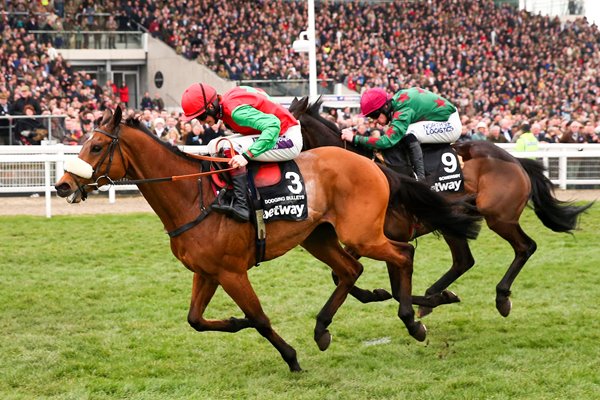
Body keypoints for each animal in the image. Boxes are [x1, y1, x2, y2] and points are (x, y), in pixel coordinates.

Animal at [54, 106, 480, 372]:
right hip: (318, 237)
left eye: (95, 145)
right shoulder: (206, 272)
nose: (62, 185)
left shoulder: (231, 272)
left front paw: (290, 357)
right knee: (351, 270)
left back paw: (413, 319)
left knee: (401, 254)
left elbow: (259, 318)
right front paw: (234, 320)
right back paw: (325, 328)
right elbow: (195, 320)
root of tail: (369, 163)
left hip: (361, 234)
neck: (194, 197)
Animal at [292, 97, 596, 318]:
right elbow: (340, 274)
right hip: (454, 222)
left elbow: (393, 287)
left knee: (525, 247)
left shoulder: (389, 235)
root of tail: (514, 160)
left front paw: (423, 300)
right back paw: (434, 296)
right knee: (464, 261)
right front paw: (388, 296)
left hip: (499, 216)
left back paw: (500, 297)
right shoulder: (367, 237)